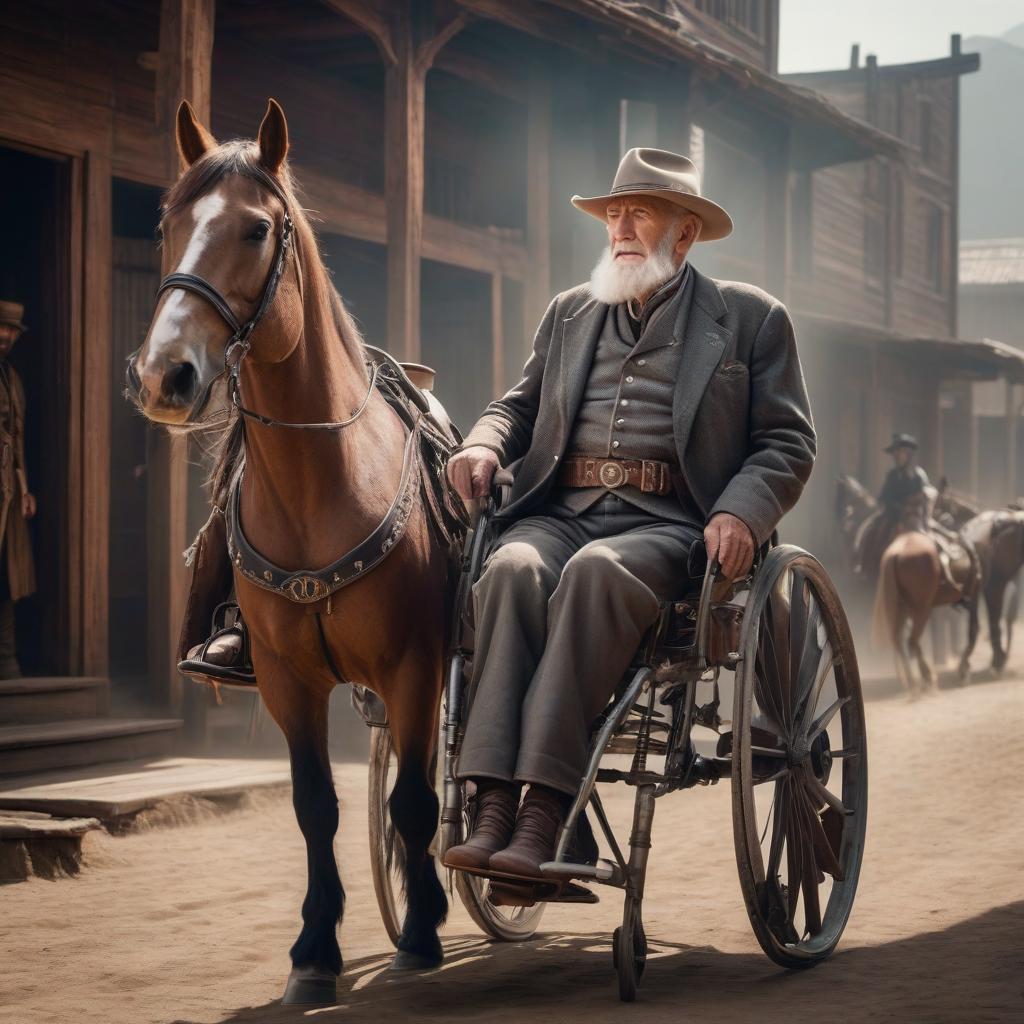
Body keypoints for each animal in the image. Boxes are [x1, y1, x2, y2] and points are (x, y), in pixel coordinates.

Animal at [124, 101, 452, 999]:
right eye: (169, 223)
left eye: (256, 228)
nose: (163, 375)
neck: (322, 483)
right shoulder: (284, 678)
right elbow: (317, 806)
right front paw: (313, 949)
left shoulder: (416, 665)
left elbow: (416, 801)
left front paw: (420, 933)